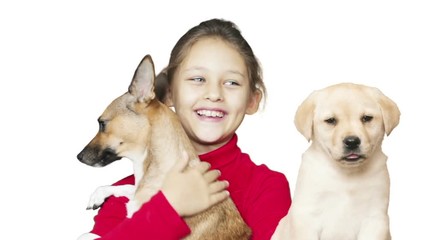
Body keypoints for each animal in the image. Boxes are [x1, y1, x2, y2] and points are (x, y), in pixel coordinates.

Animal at [77, 54, 251, 240]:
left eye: (102, 124)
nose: (79, 157)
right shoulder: (137, 192)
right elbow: (124, 187)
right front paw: (97, 195)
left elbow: (93, 236)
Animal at [274, 83, 402, 240]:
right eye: (331, 120)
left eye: (367, 118)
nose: (352, 141)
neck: (346, 174)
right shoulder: (307, 215)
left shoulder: (375, 218)